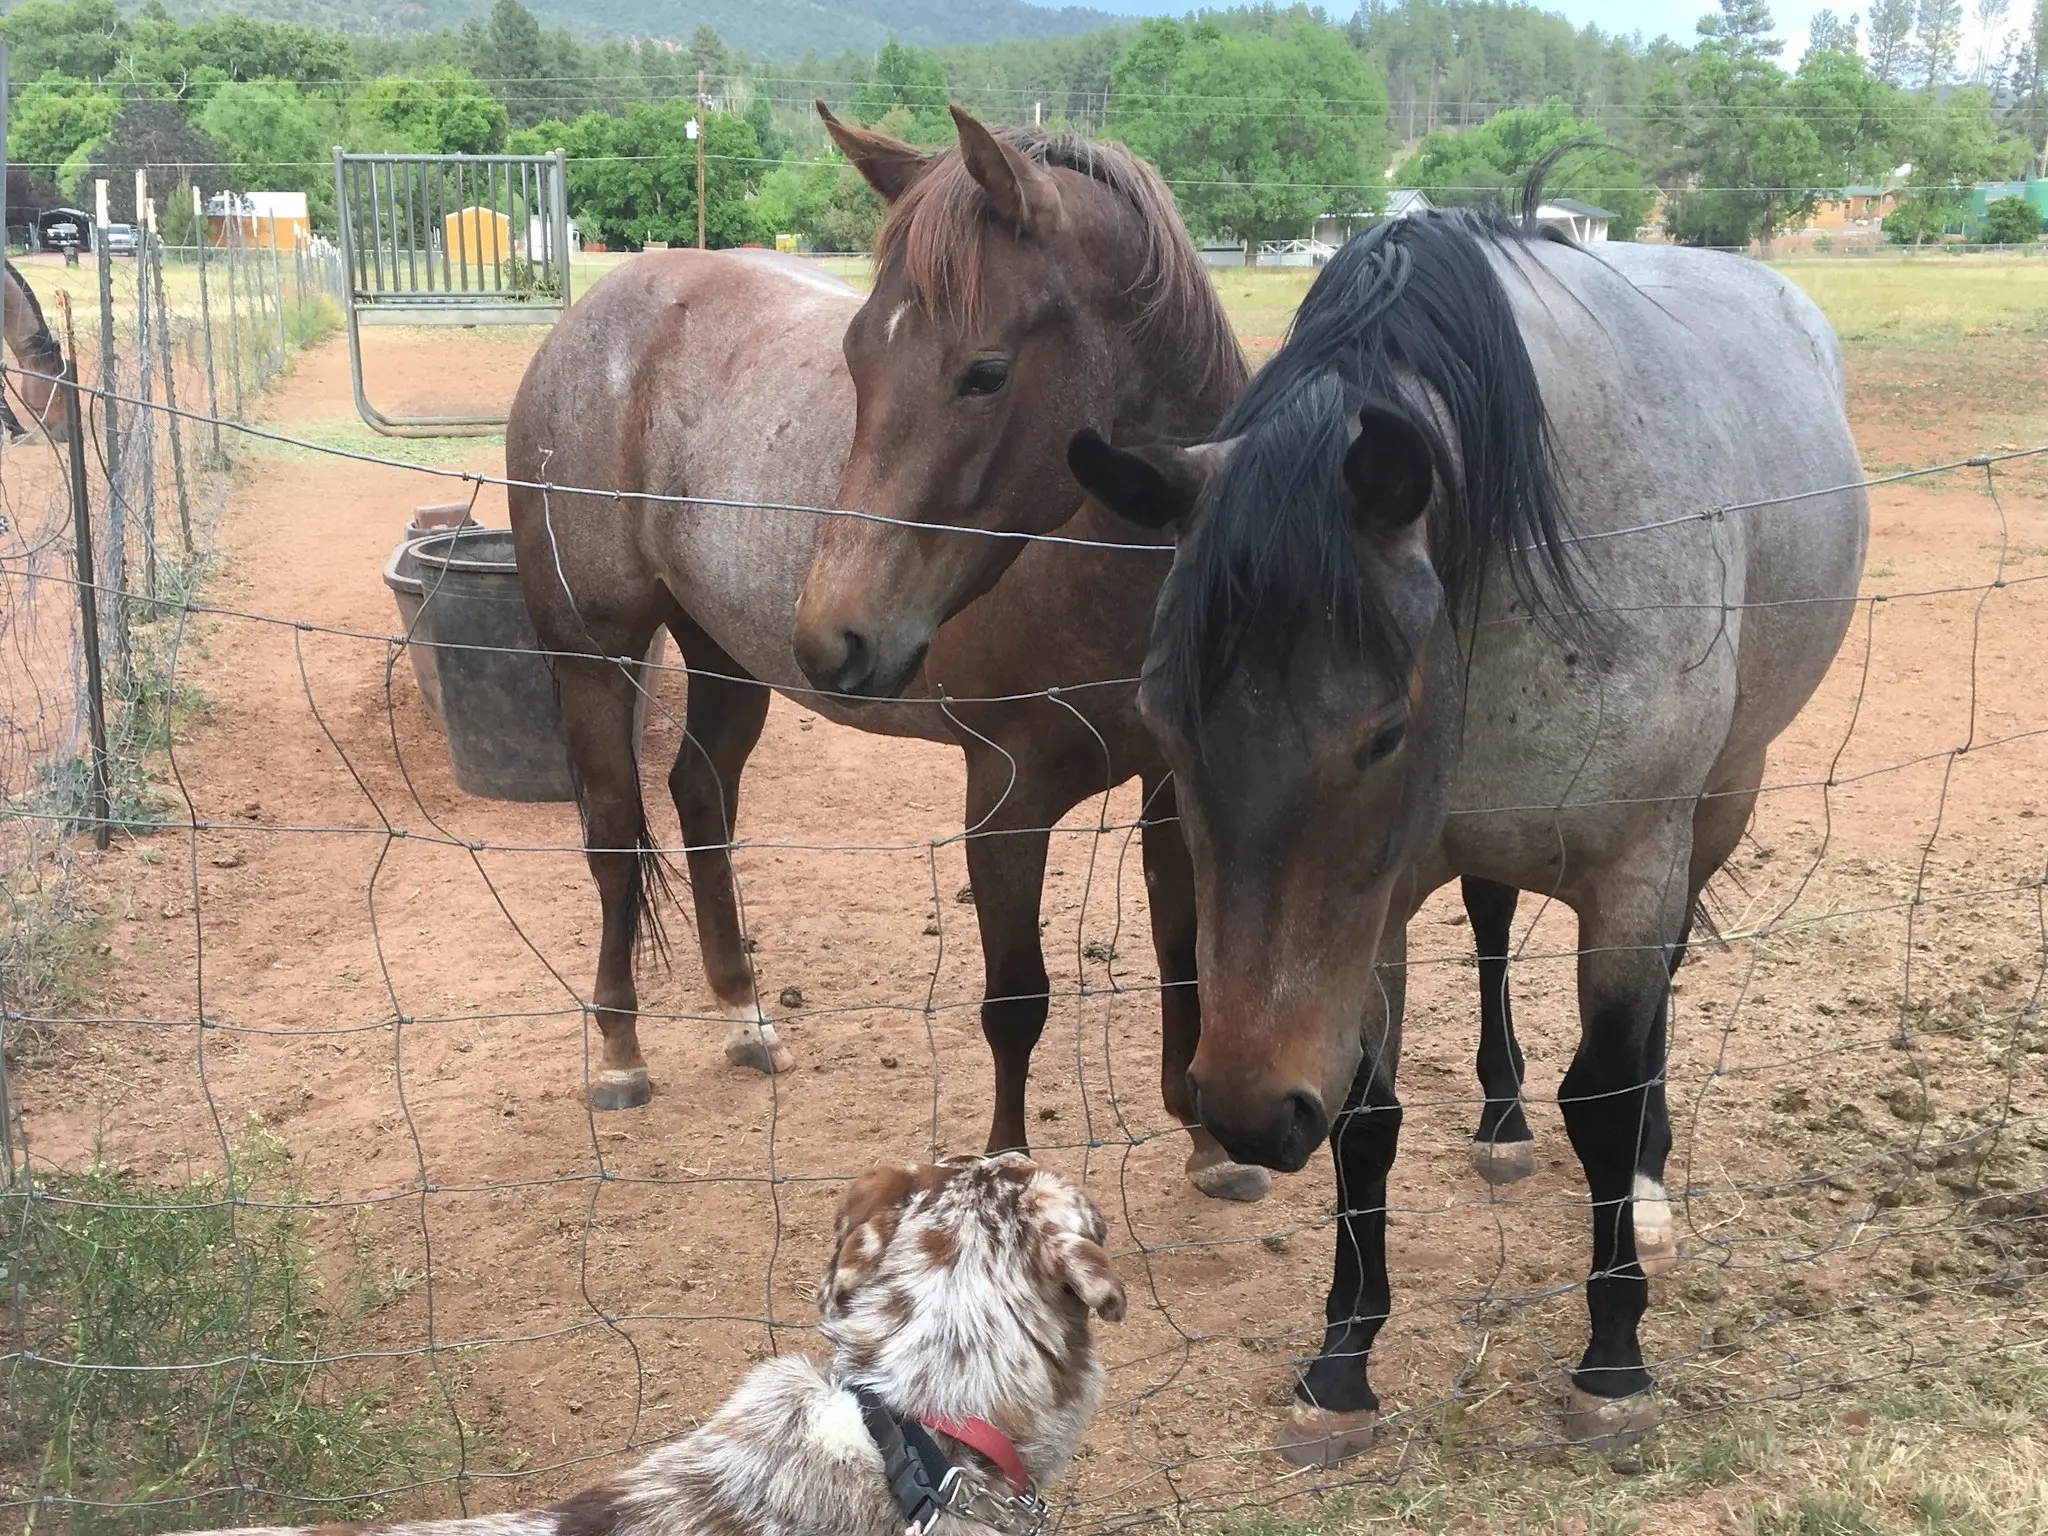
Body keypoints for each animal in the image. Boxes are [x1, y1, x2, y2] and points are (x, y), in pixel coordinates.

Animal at [1064, 214, 1875, 1458]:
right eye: (1160, 714)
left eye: (1382, 731)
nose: (1244, 1111)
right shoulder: (1378, 906)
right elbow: (1365, 1116)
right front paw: (1340, 1365)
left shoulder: (1631, 869)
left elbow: (1602, 1095)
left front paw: (1612, 1357)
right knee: (1493, 920)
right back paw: (1500, 1121)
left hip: (1716, 808)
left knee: (1658, 1000)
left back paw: (1648, 1178)